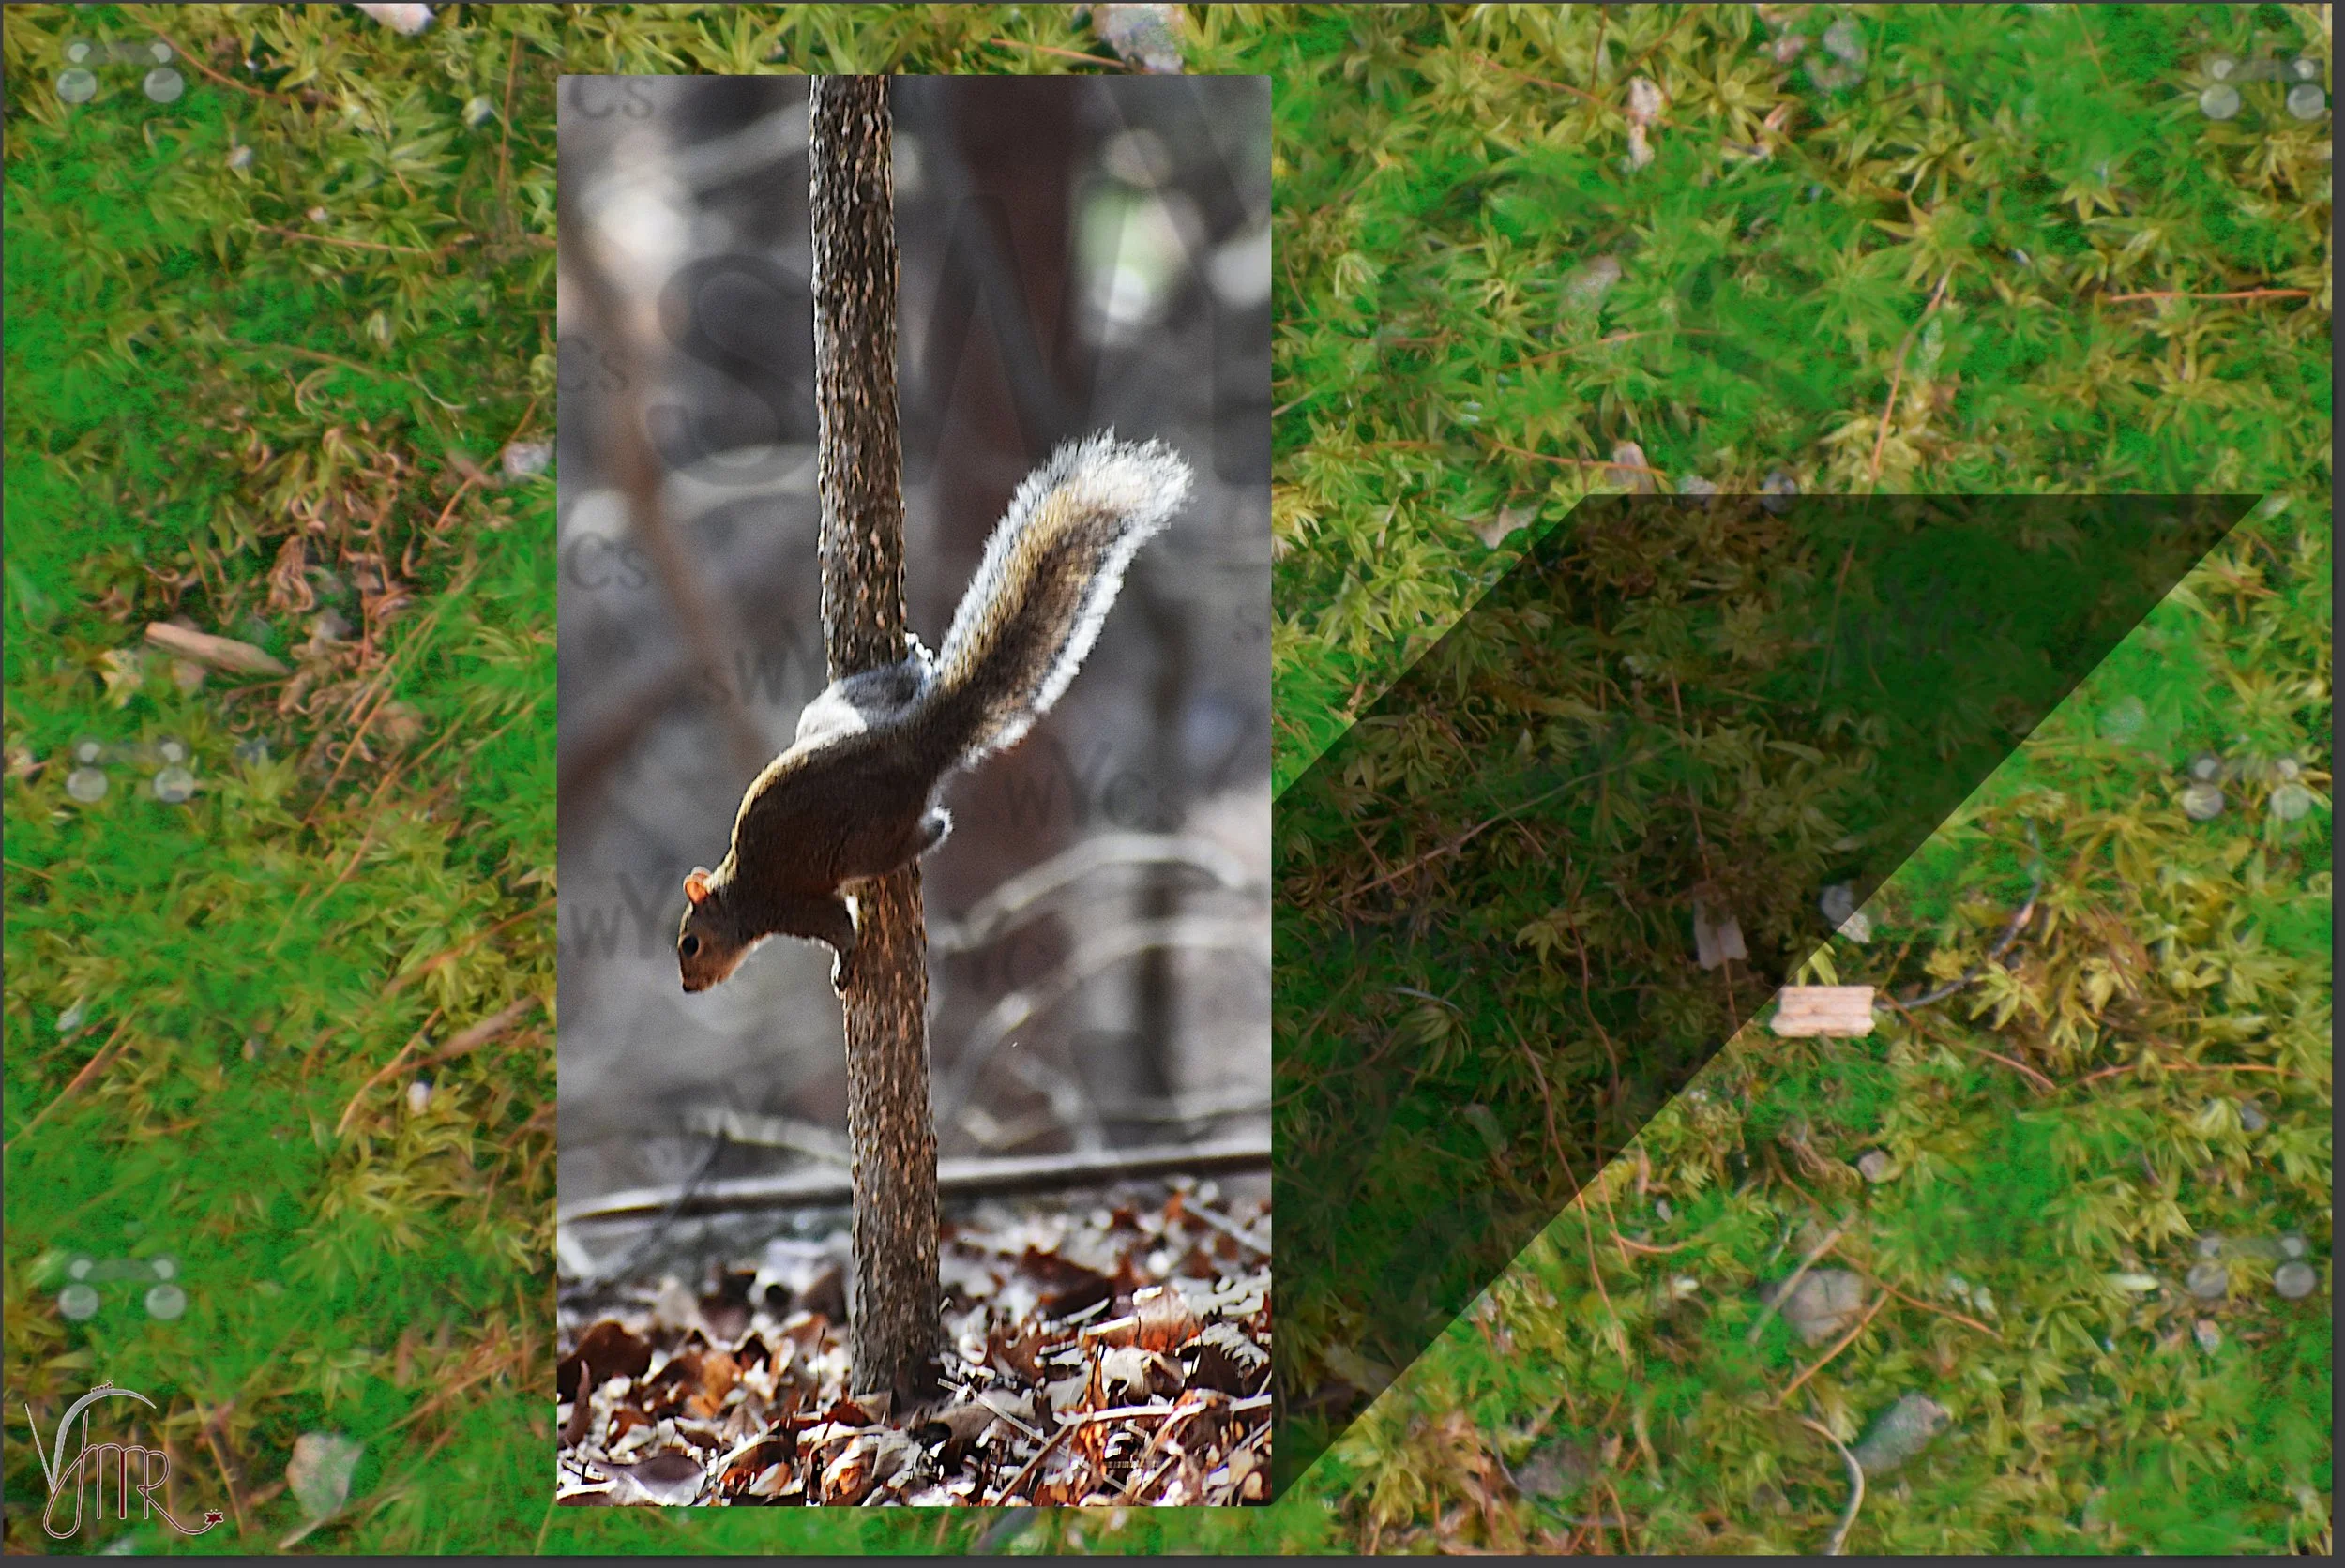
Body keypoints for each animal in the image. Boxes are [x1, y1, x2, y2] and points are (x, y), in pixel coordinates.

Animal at [676, 430, 1193, 994]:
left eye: (690, 944)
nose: (688, 986)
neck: (737, 892)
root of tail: (907, 740)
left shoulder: (791, 908)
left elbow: (840, 929)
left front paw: (843, 966)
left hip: (868, 837)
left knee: (916, 836)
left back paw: (931, 827)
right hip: (830, 714)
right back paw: (913, 660)